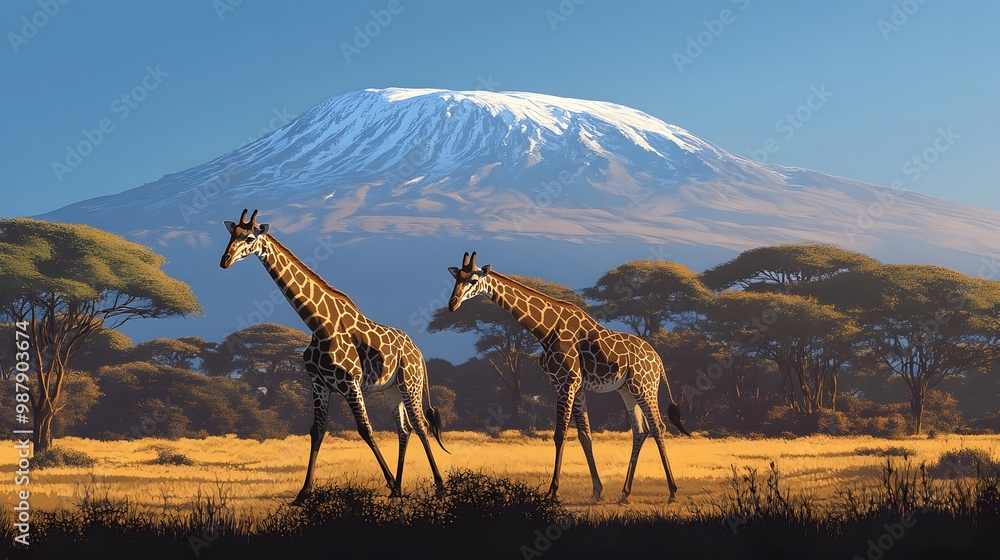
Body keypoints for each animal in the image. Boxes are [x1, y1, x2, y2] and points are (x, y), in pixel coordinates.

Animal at [220, 209, 448, 504]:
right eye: (230, 235)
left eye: (249, 238)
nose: (224, 261)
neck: (318, 324)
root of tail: (418, 351)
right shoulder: (318, 383)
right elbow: (317, 431)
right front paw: (302, 494)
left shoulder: (351, 383)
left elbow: (365, 429)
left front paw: (388, 482)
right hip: (391, 390)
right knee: (404, 429)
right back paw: (399, 490)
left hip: (410, 383)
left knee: (420, 425)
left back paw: (438, 486)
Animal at [447, 252, 690, 503]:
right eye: (456, 278)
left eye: (473, 280)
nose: (452, 304)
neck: (546, 330)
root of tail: (659, 361)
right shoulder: (571, 385)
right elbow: (585, 435)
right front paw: (597, 491)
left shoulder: (566, 382)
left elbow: (560, 434)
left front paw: (552, 492)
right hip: (627, 390)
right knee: (640, 431)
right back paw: (625, 493)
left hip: (645, 386)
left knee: (658, 427)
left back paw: (672, 492)